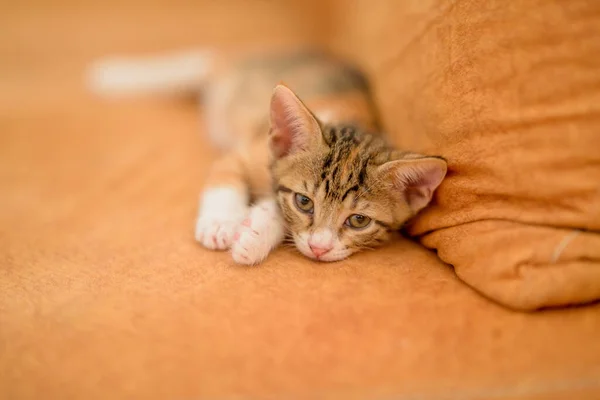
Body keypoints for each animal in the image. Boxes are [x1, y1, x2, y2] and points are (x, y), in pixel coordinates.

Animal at [88, 48, 446, 264]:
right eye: (305, 202)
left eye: (359, 221)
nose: (320, 248)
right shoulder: (244, 153)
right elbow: (226, 179)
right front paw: (220, 223)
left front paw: (255, 233)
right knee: (200, 59)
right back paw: (111, 76)